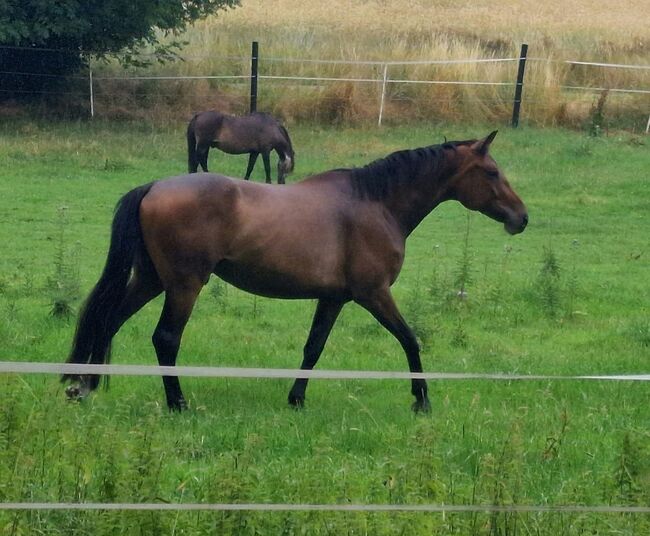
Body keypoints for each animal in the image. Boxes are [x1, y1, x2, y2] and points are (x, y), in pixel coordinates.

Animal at [62, 132, 528, 412]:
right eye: (491, 172)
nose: (521, 218)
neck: (375, 202)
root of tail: (155, 186)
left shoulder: (334, 298)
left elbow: (313, 348)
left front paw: (296, 399)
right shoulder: (374, 294)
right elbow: (410, 340)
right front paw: (422, 400)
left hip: (151, 280)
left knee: (108, 320)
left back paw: (85, 387)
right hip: (183, 286)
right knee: (165, 339)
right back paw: (177, 404)